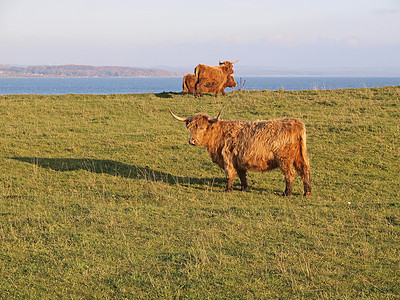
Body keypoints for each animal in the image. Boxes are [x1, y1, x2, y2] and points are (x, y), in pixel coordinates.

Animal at [169, 109, 312, 196]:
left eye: (203, 128)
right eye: (190, 128)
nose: (192, 141)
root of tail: (295, 122)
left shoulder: (227, 159)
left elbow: (229, 175)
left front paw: (227, 190)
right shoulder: (239, 160)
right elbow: (242, 175)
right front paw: (244, 188)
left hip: (284, 159)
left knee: (290, 174)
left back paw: (287, 193)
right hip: (300, 156)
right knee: (304, 170)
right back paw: (307, 192)